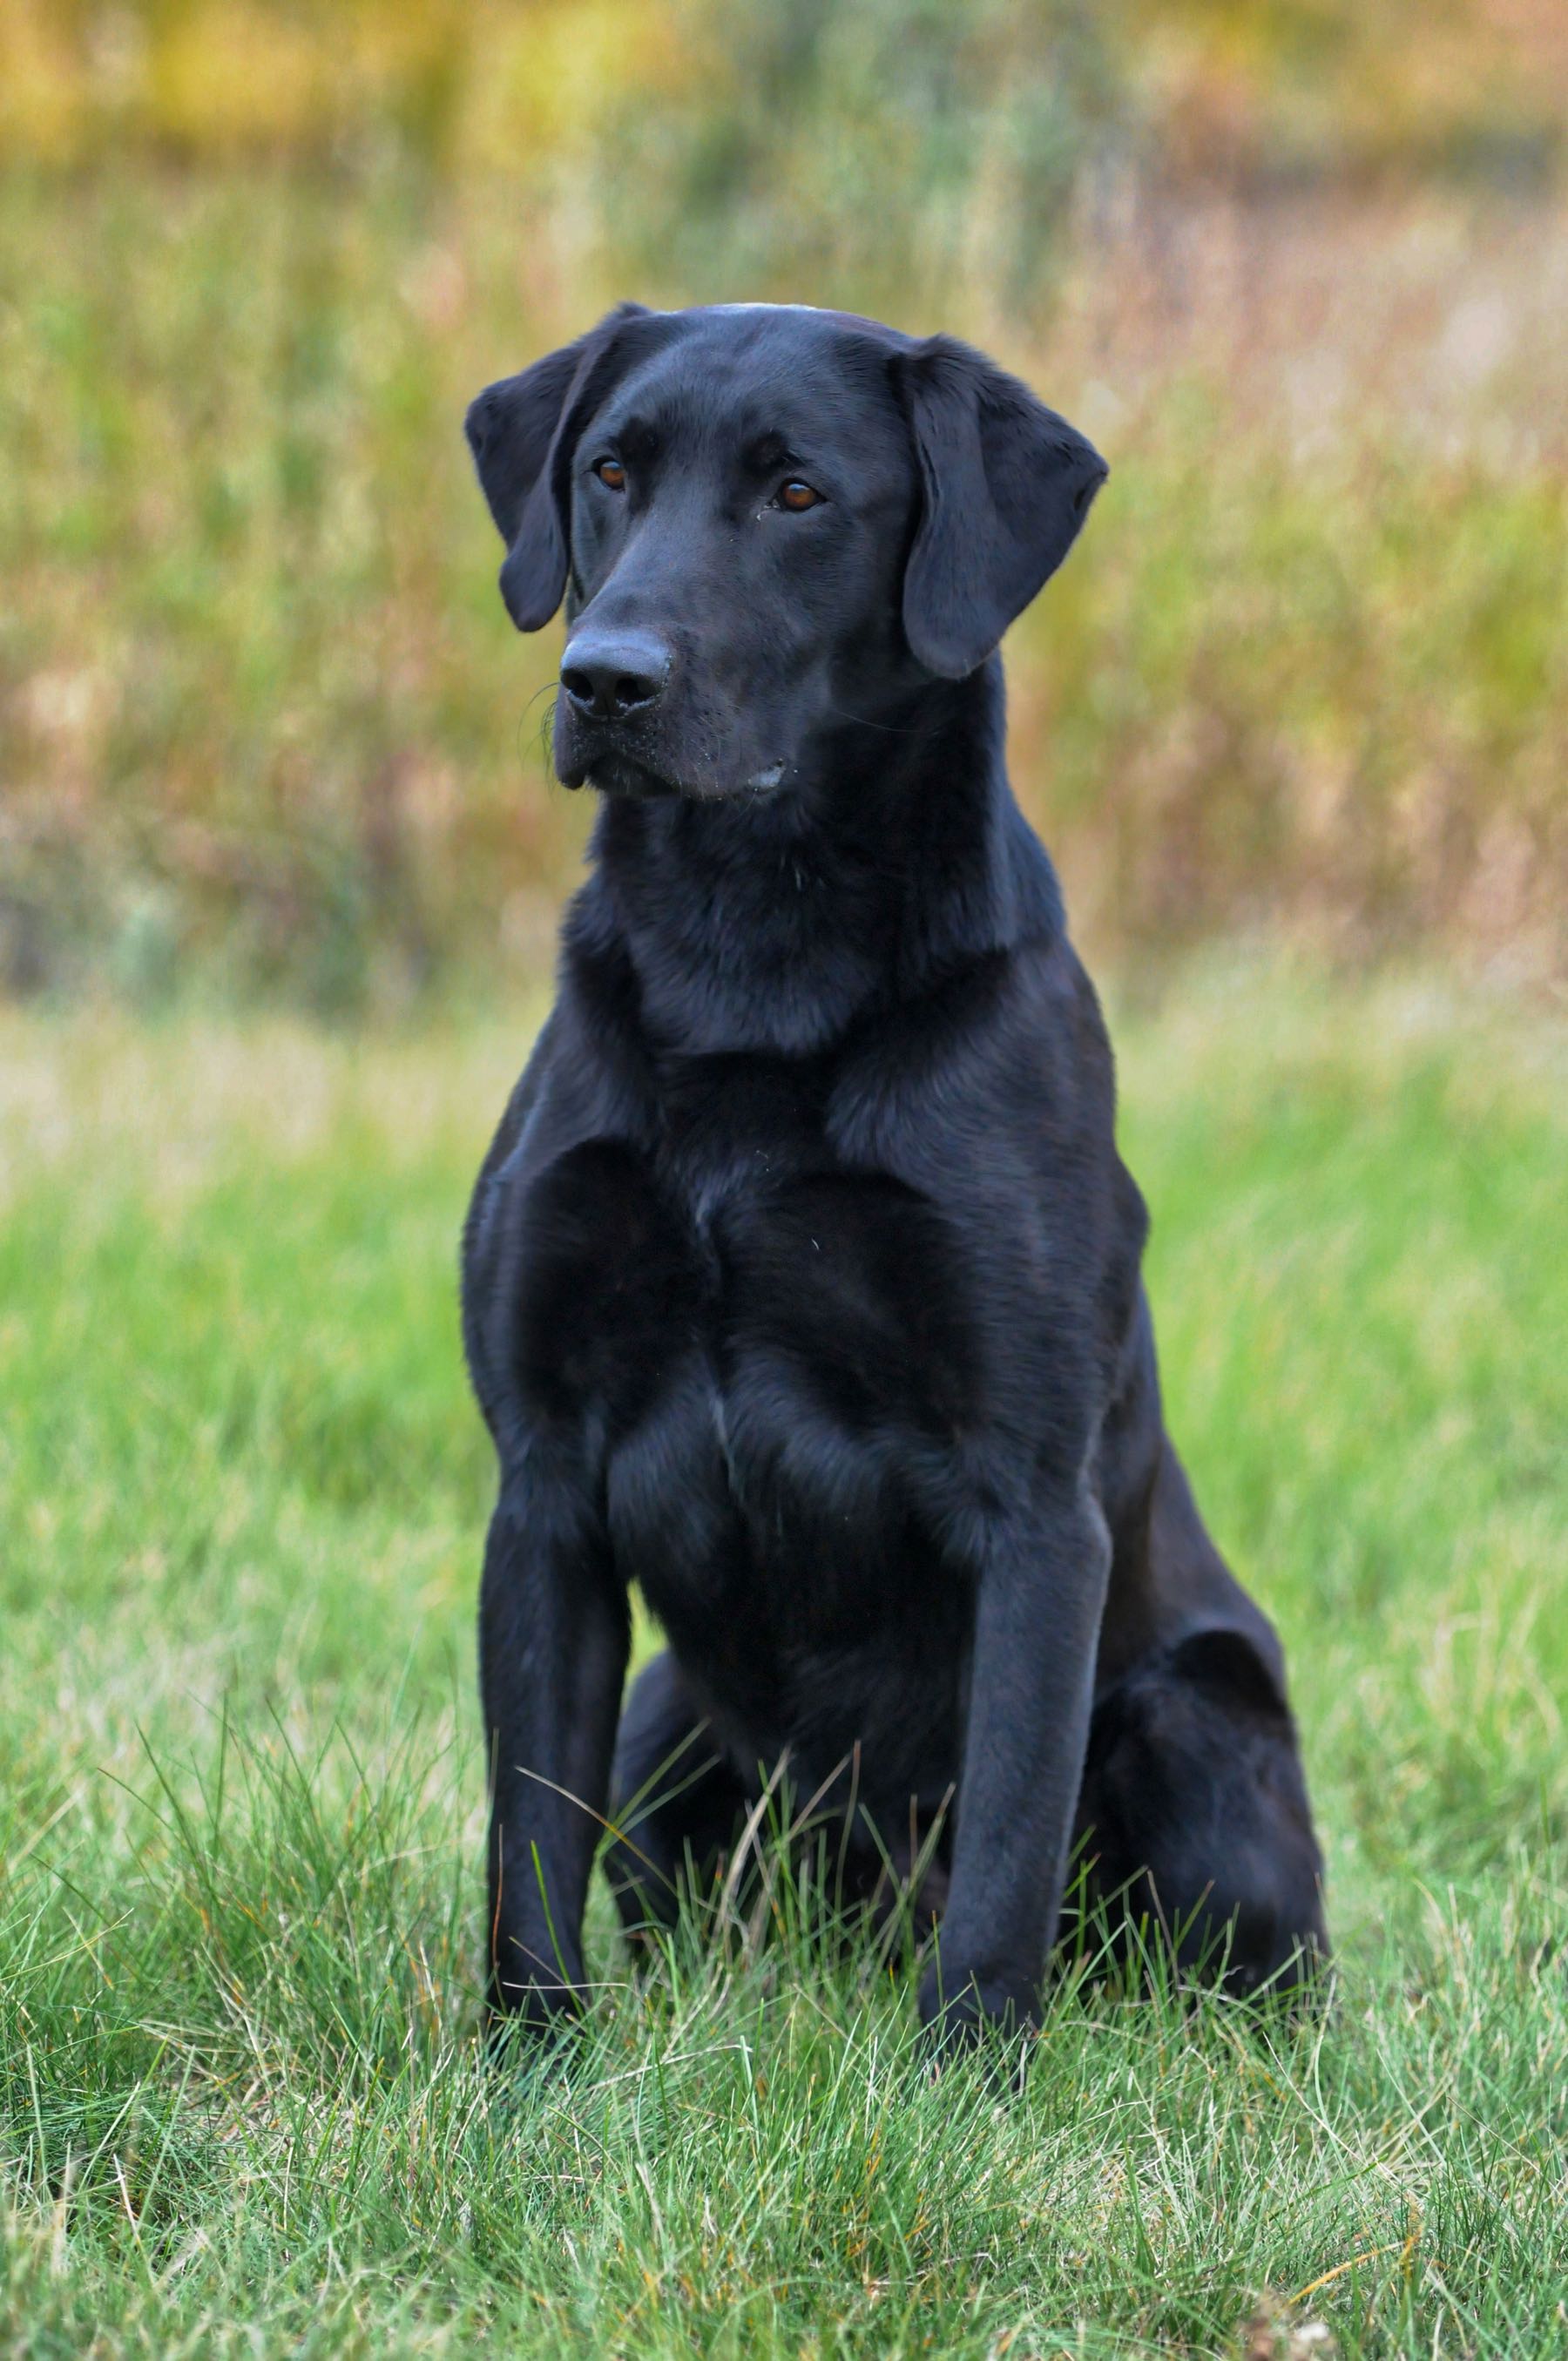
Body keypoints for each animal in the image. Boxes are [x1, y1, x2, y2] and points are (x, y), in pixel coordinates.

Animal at [460, 304, 1331, 2059]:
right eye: (608, 472)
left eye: (799, 493)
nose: (605, 680)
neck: (748, 965)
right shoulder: (545, 1481)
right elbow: (529, 1838)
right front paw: (529, 2068)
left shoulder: (1034, 1504)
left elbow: (1005, 1835)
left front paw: (966, 2080)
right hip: (668, 1715)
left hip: (1195, 1723)